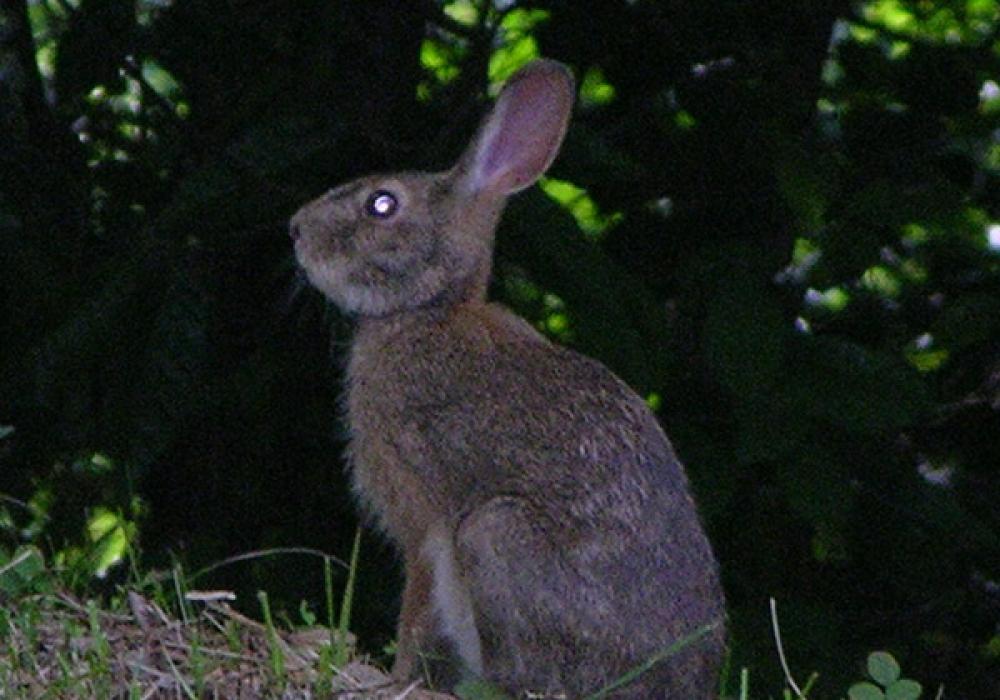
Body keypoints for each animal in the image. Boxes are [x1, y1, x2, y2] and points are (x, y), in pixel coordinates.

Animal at [290, 61, 728, 700]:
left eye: (382, 204)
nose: (295, 229)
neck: (429, 309)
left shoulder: (420, 517)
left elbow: (416, 607)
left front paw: (390, 678)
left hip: (493, 536)